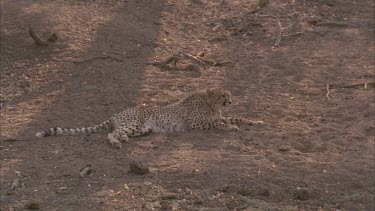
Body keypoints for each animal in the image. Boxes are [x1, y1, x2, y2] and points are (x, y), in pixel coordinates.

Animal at [36, 87, 264, 148]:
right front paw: (231, 127)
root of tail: (117, 112)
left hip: (141, 128)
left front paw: (255, 121)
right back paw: (117, 143)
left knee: (119, 132)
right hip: (134, 122)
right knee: (111, 134)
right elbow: (219, 122)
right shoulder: (196, 123)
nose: (230, 102)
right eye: (223, 96)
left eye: (229, 95)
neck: (210, 103)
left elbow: (236, 118)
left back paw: (125, 139)